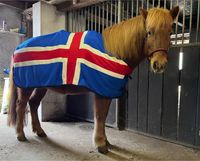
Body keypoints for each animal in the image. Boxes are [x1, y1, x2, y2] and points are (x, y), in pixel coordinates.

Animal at [7, 6, 180, 153]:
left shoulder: (107, 92)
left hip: (40, 85)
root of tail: (20, 47)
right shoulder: (101, 92)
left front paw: (106, 142)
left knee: (33, 104)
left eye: (170, 32)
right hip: (26, 86)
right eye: (149, 32)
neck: (113, 51)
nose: (159, 64)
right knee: (21, 106)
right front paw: (100, 144)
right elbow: (99, 116)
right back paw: (20, 134)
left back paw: (39, 131)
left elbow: (103, 116)